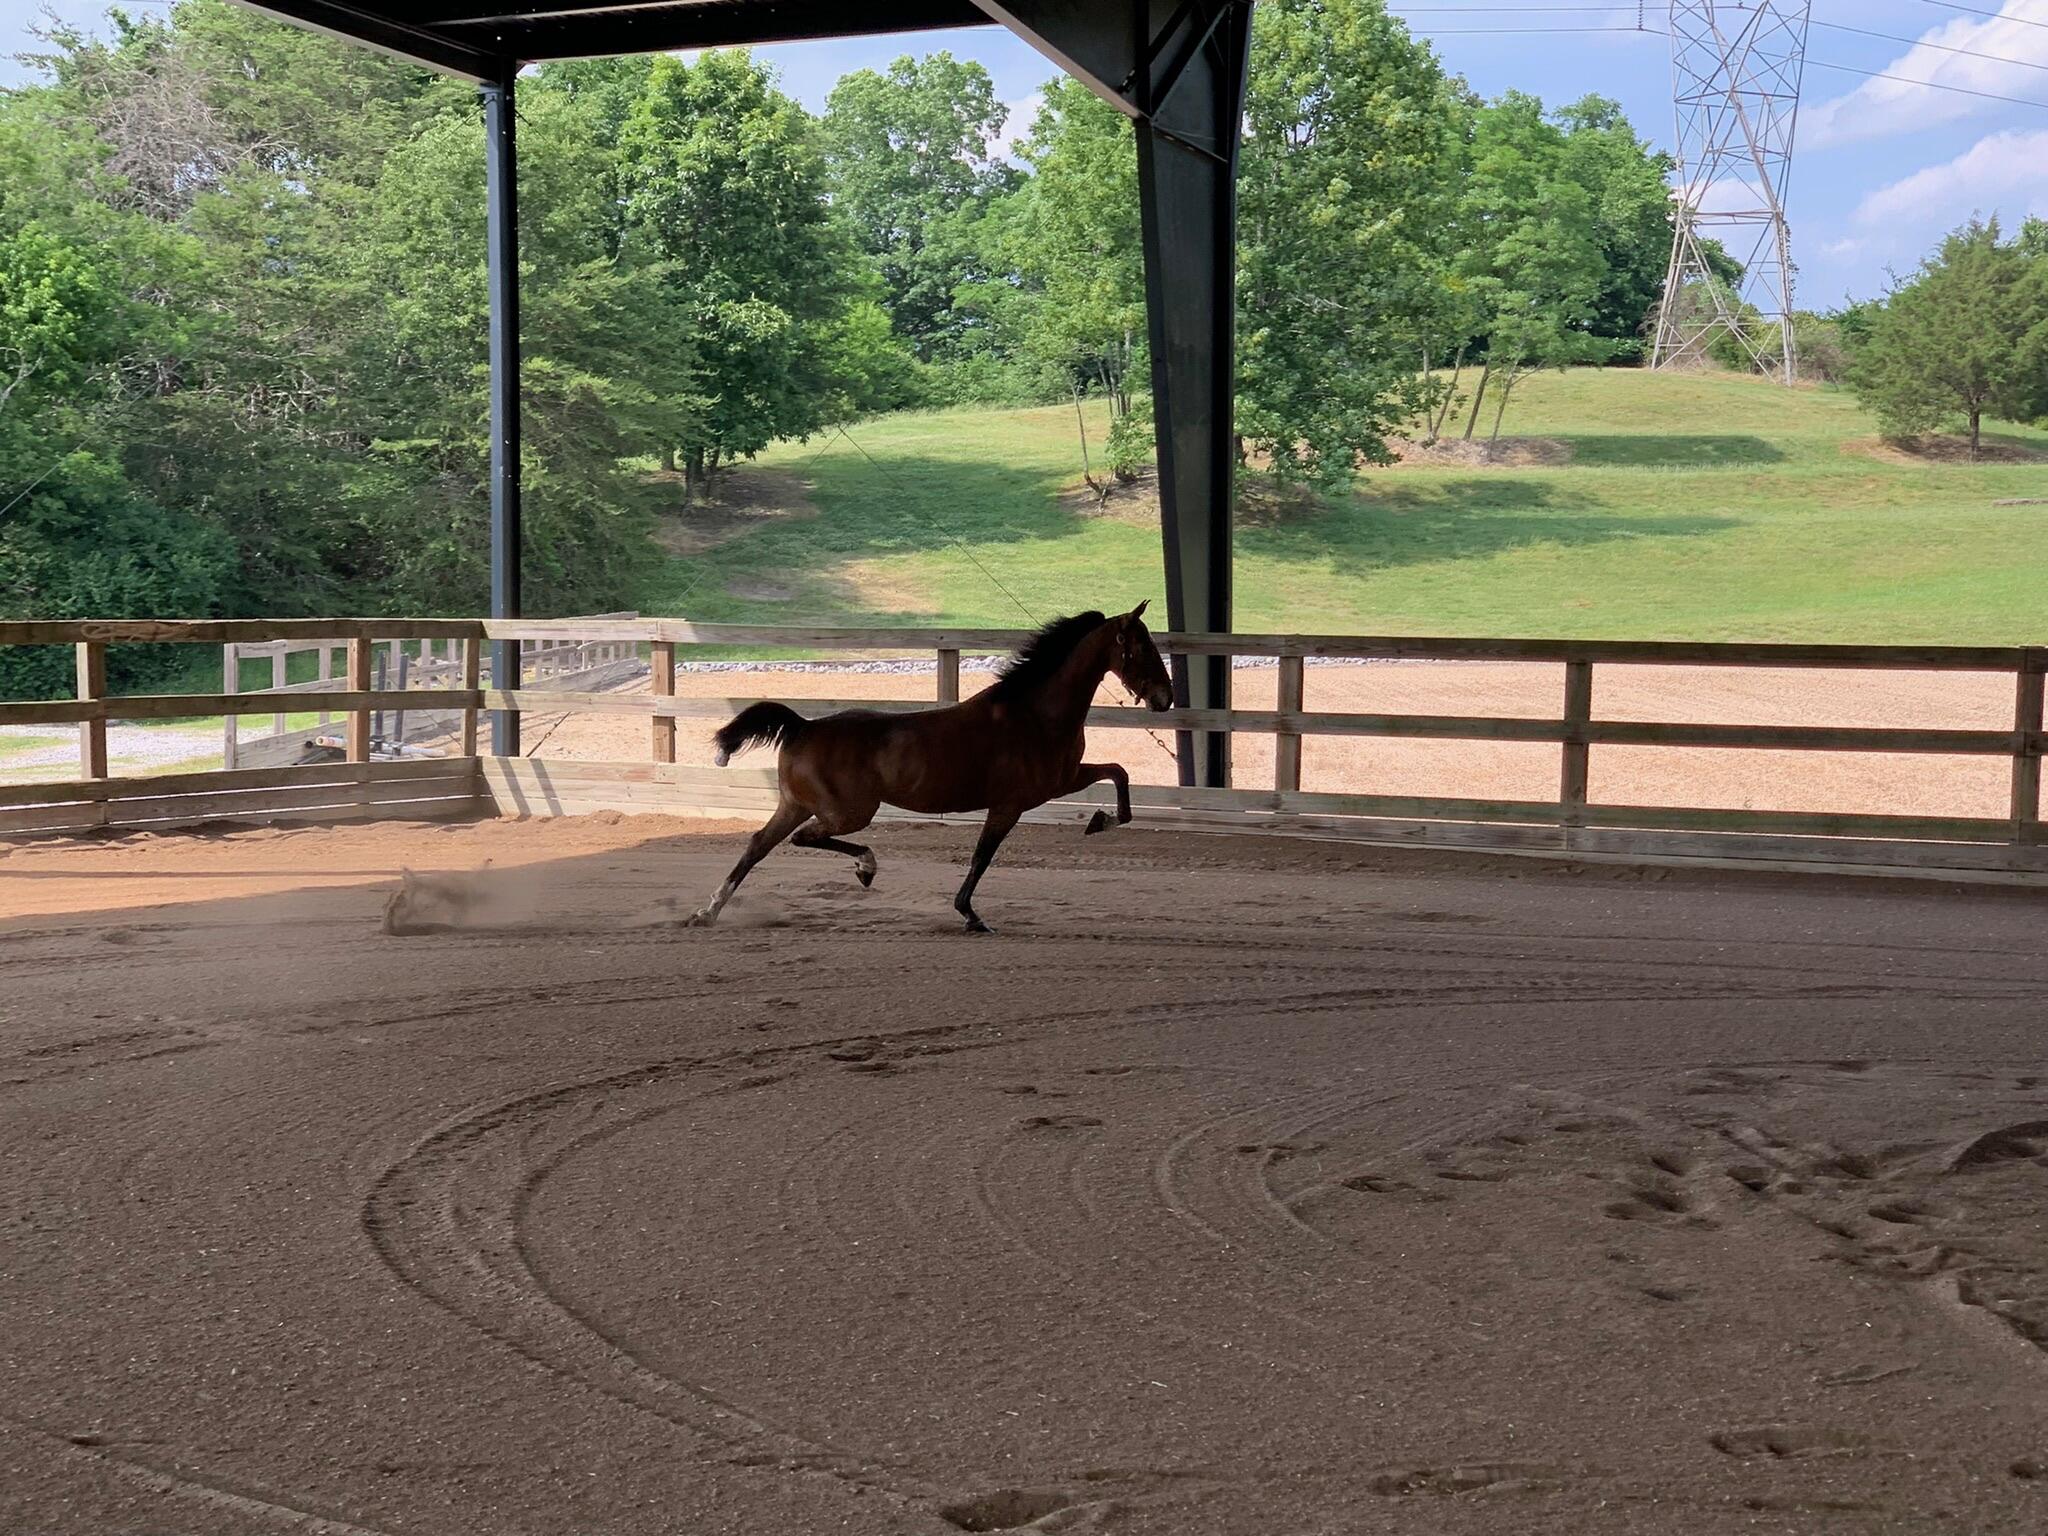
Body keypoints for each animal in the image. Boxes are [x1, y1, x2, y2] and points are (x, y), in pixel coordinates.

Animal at [688, 603, 1174, 933]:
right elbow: (981, 857)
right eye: (1142, 646)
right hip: (847, 813)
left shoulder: (1062, 780)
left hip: (795, 805)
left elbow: (1119, 774)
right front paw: (971, 916)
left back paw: (706, 912)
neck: (1035, 713)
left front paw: (1100, 820)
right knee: (804, 839)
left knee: (759, 845)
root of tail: (804, 726)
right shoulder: (1011, 804)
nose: (1164, 698)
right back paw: (866, 867)